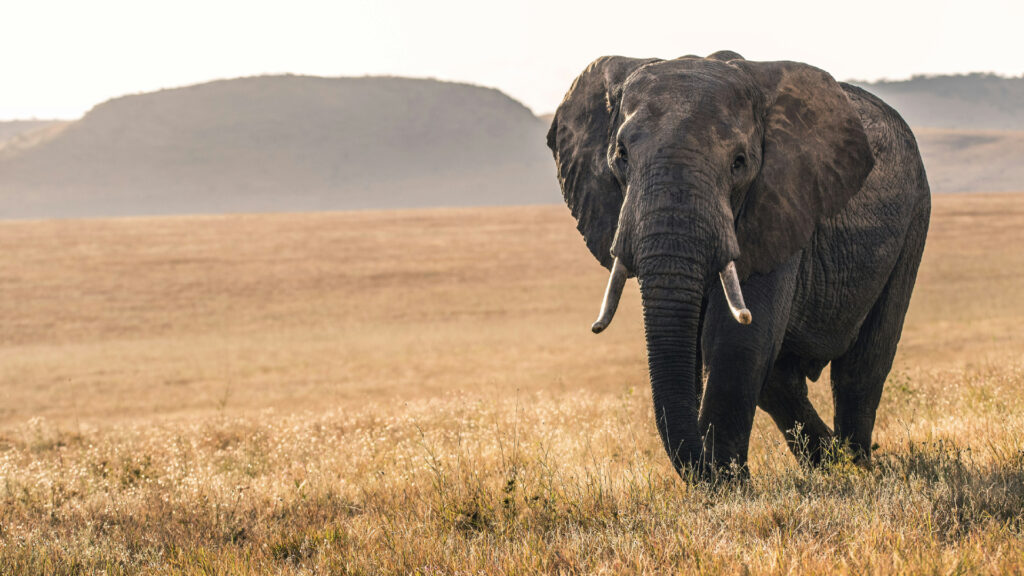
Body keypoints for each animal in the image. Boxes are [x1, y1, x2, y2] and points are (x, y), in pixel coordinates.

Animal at [546, 51, 930, 475]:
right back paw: (830, 463)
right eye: (621, 156)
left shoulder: (779, 202)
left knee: (862, 366)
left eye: (739, 162)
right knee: (781, 380)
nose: (707, 469)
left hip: (915, 217)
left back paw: (856, 468)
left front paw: (728, 483)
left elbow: (736, 341)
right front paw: (723, 477)